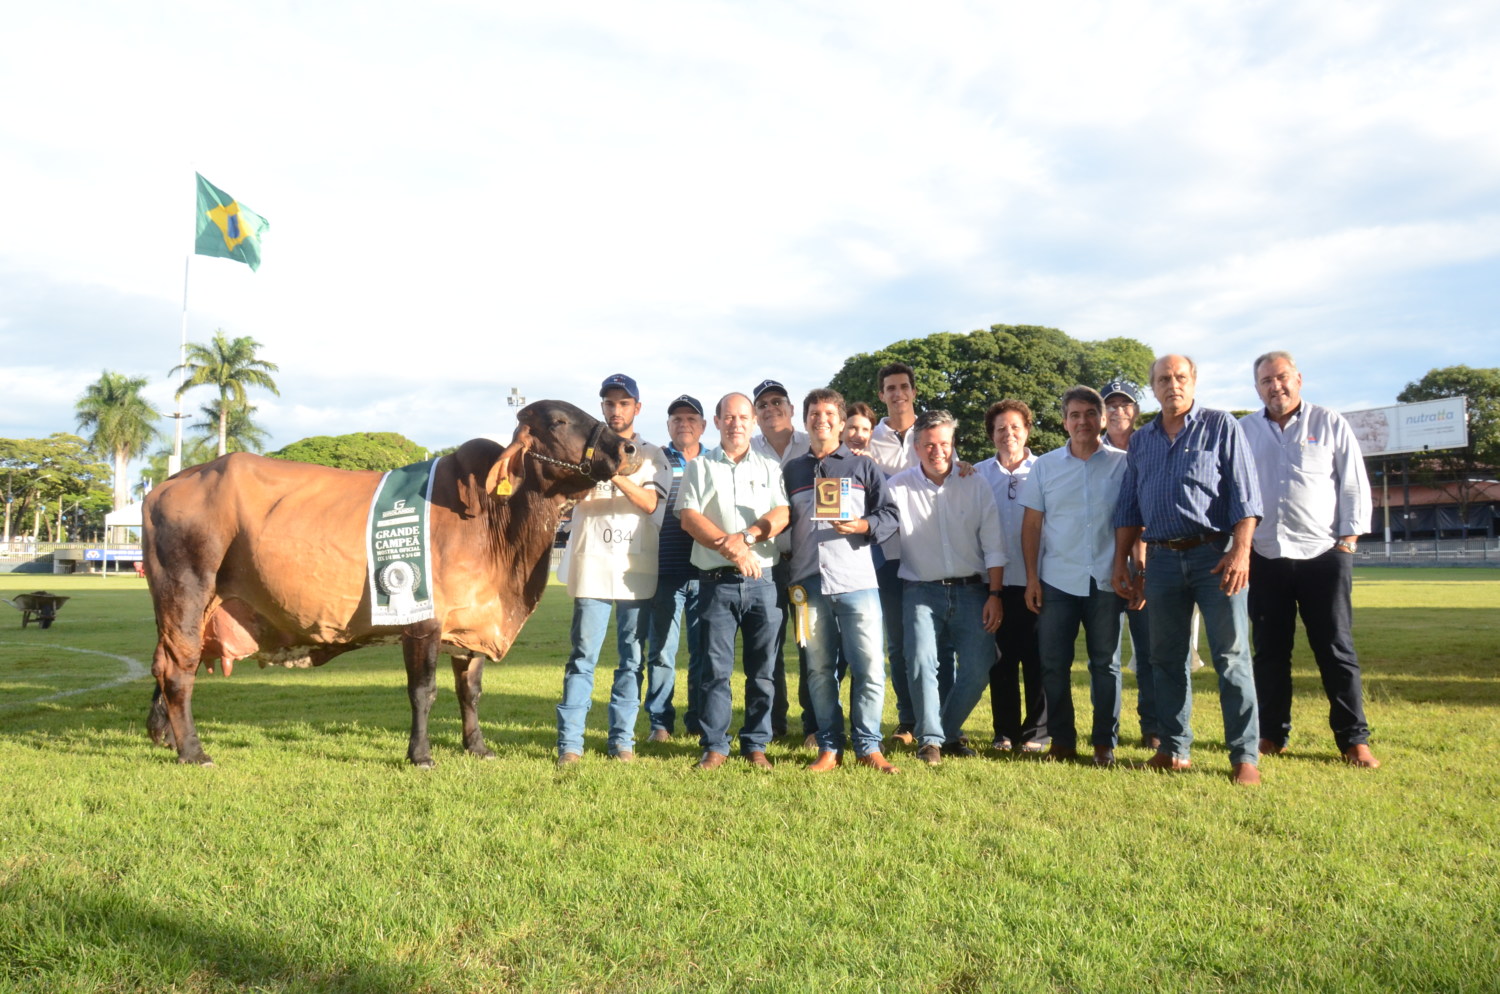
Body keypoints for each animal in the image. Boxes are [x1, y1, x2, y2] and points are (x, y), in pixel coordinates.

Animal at [141, 401, 633, 764]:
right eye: (560, 420)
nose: (627, 447)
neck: (498, 521)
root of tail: (164, 486)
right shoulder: (423, 623)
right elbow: (423, 691)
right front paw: (421, 755)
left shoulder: (470, 625)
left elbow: (470, 692)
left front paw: (477, 747)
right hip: (186, 591)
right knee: (178, 669)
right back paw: (193, 751)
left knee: (163, 665)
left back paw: (162, 735)